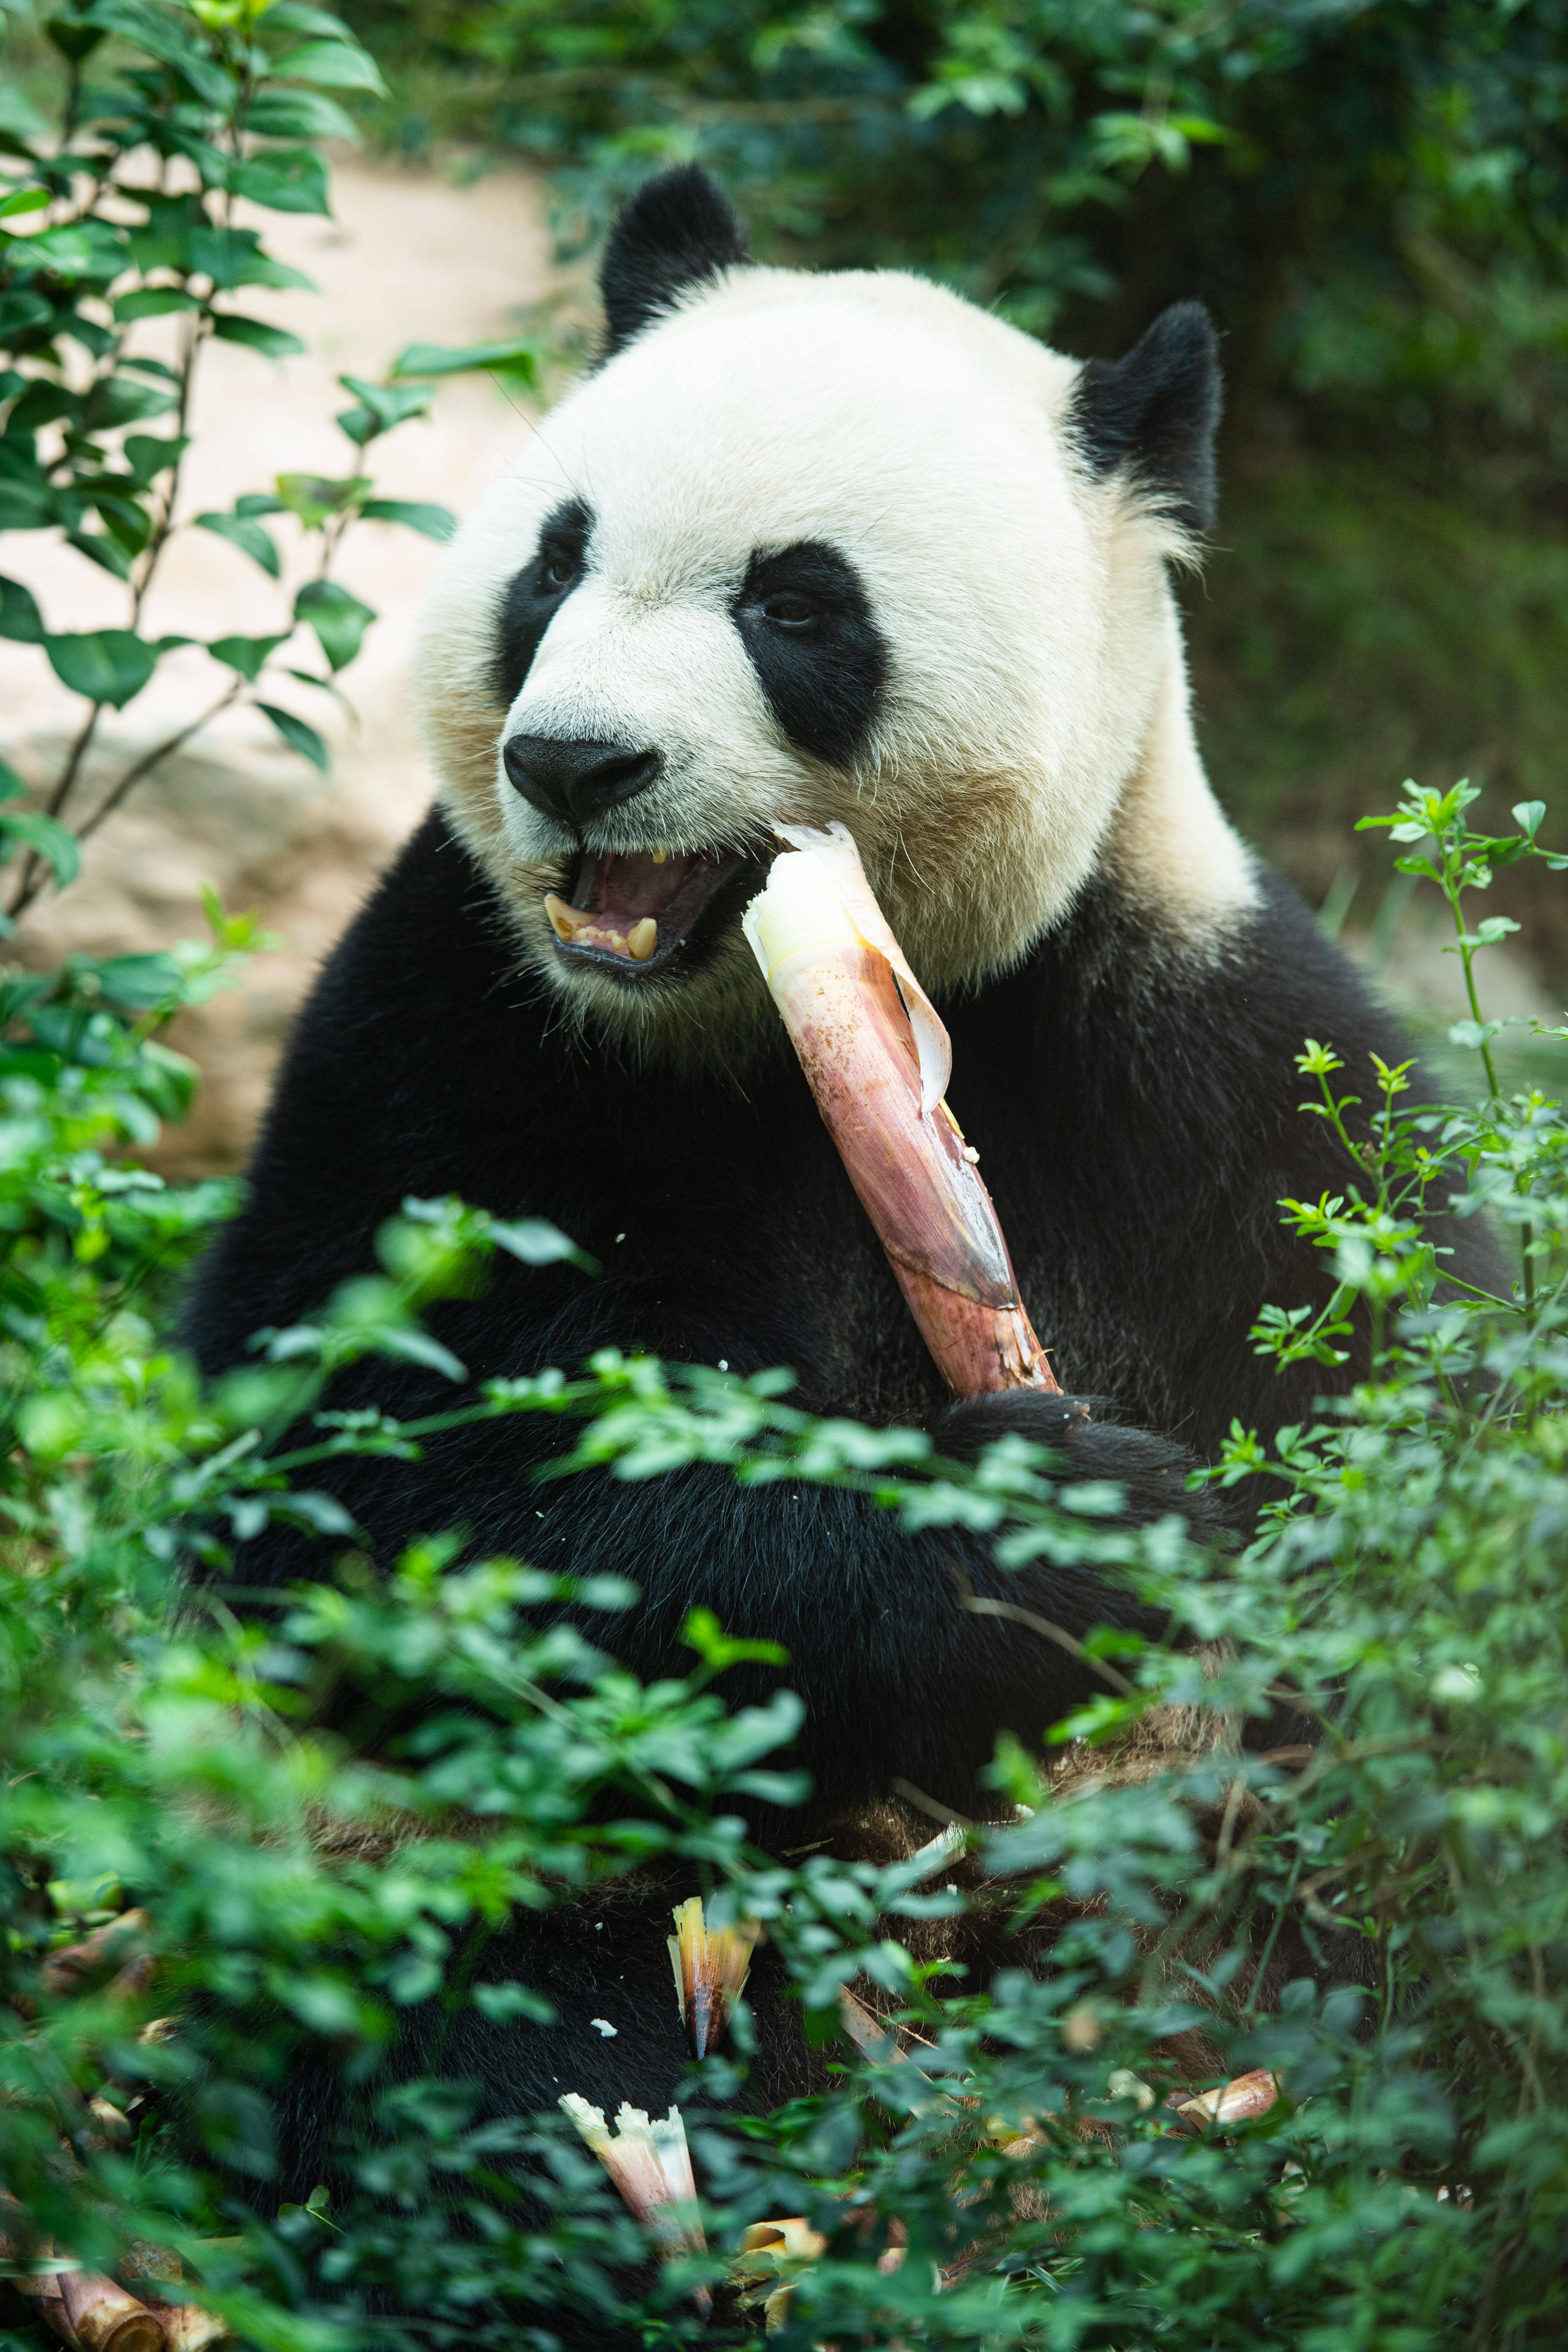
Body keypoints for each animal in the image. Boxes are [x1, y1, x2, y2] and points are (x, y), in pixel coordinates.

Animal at [184, 166, 1495, 2258]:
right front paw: (1041, 1543)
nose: (573, 763)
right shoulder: (457, 1033)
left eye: (796, 607)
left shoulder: (1189, 1047)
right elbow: (383, 1469)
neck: (767, 1018)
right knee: (505, 2042)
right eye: (552, 566)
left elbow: (1396, 1444)